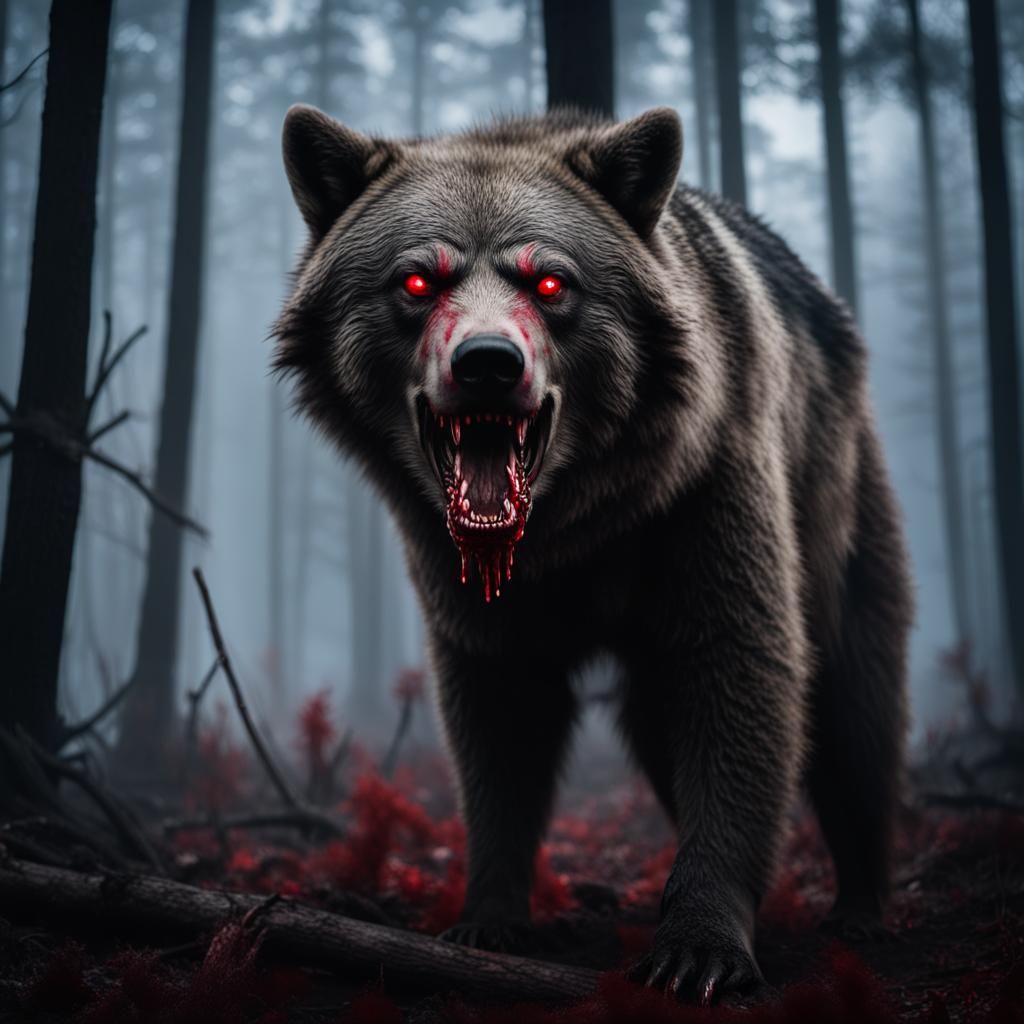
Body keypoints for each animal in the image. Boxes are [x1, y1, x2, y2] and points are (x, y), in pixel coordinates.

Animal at [273, 104, 912, 1004]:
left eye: (550, 282)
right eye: (417, 281)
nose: (487, 363)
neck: (577, 531)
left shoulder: (703, 499)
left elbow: (739, 677)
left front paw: (699, 949)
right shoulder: (465, 582)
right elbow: (499, 729)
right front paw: (487, 918)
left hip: (840, 501)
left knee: (857, 705)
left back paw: (859, 903)